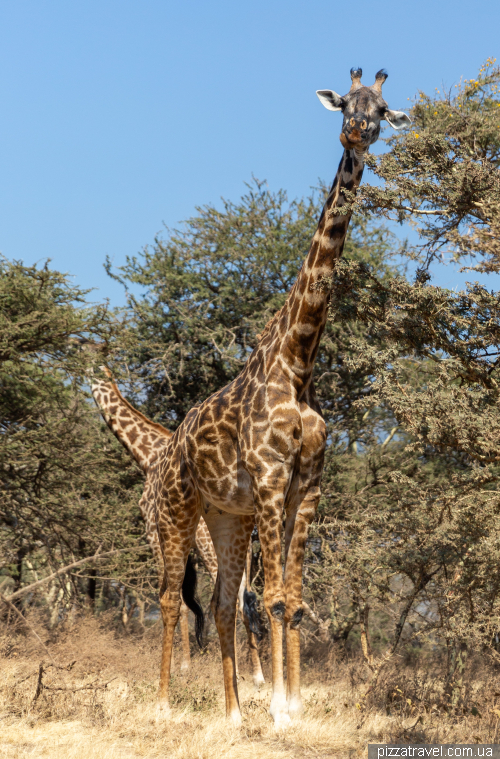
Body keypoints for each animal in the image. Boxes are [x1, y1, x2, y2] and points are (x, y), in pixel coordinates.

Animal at [90, 372, 266, 684]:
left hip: (211, 545)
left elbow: (178, 601)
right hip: (240, 551)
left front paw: (182, 665)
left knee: (231, 602)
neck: (147, 456)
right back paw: (258, 674)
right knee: (248, 600)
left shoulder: (154, 529)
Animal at [152, 68, 410, 728]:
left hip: (225, 518)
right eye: (345, 104)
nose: (357, 132)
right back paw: (161, 703)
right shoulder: (271, 478)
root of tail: (168, 448)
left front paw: (290, 703)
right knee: (168, 598)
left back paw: (232, 713)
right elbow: (270, 599)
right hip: (177, 510)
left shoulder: (307, 485)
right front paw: (279, 710)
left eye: (383, 110)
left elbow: (292, 599)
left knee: (220, 603)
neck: (298, 362)